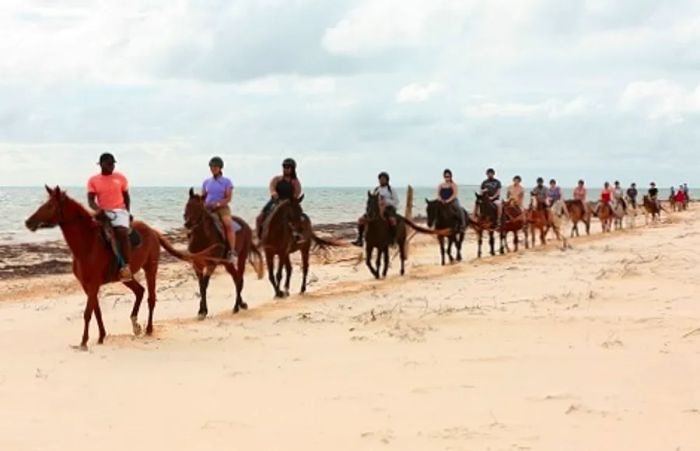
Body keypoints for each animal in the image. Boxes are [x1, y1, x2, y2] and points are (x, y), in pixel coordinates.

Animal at [26, 185, 208, 348]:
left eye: (49, 206)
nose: (28, 222)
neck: (87, 244)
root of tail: (153, 231)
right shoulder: (87, 286)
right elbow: (96, 311)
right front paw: (101, 336)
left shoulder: (93, 285)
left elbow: (87, 313)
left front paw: (84, 342)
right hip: (125, 277)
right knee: (139, 291)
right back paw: (135, 325)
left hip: (151, 269)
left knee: (151, 298)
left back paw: (148, 329)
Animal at [183, 189, 262, 320]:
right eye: (188, 205)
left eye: (199, 207)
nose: (187, 224)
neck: (203, 238)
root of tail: (246, 225)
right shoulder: (197, 265)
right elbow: (201, 286)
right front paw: (201, 311)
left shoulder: (212, 264)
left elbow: (204, 285)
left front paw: (204, 311)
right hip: (227, 263)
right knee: (236, 278)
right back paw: (241, 304)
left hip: (241, 257)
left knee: (239, 279)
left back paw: (236, 307)